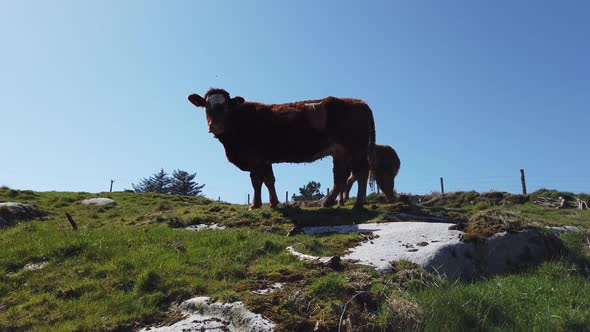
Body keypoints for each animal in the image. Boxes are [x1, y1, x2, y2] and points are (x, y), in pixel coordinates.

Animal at [187, 88, 376, 208]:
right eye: (206, 106)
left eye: (226, 106)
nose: (215, 126)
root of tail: (360, 102)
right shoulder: (264, 159)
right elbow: (268, 180)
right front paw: (272, 202)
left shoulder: (255, 157)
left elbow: (257, 180)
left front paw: (255, 204)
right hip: (340, 152)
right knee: (341, 177)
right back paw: (327, 202)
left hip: (356, 149)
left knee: (361, 172)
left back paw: (358, 203)